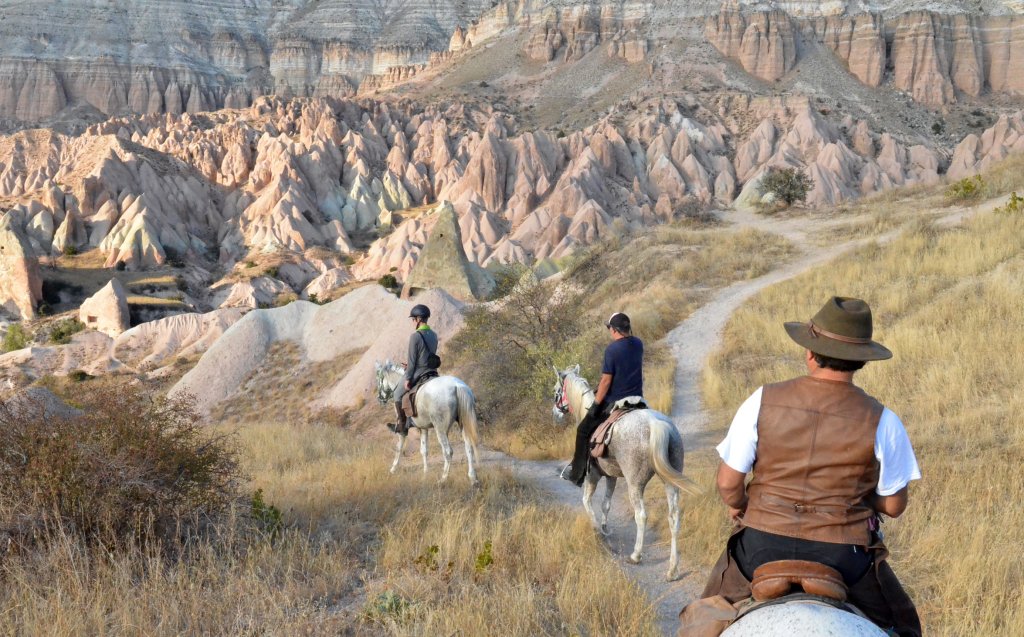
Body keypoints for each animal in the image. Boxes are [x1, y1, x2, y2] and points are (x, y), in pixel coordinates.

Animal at [552, 366, 704, 581]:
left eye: (556, 391)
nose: (555, 413)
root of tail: (656, 424)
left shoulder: (593, 476)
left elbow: (587, 501)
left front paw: (597, 530)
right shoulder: (612, 477)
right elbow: (606, 504)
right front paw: (605, 528)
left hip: (635, 483)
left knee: (641, 515)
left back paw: (636, 555)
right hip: (671, 481)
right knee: (674, 517)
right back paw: (672, 569)